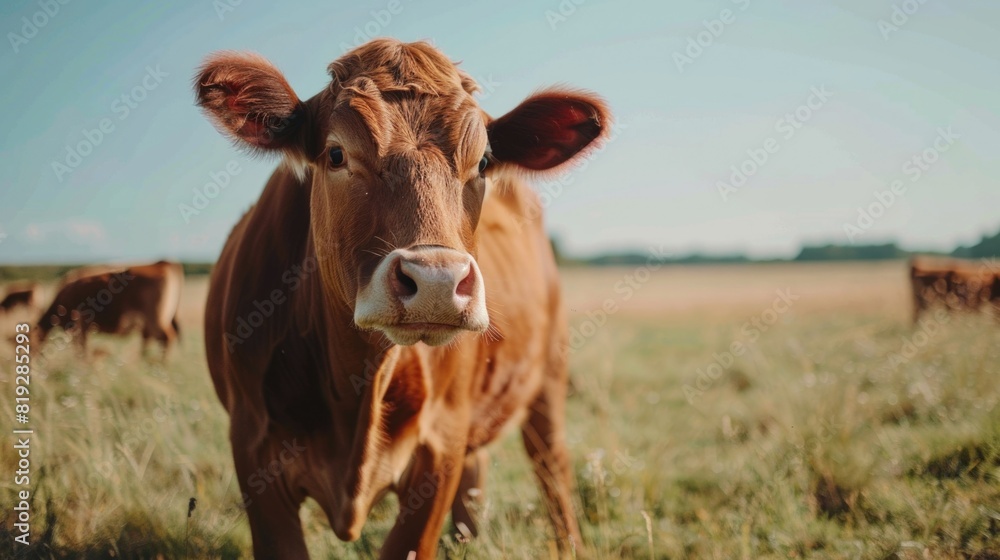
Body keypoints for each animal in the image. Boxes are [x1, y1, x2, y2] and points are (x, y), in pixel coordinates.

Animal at [194, 37, 604, 556]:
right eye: (336, 154)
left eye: (483, 163)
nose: (437, 283)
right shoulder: (253, 449)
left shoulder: (441, 445)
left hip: (549, 374)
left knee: (552, 467)